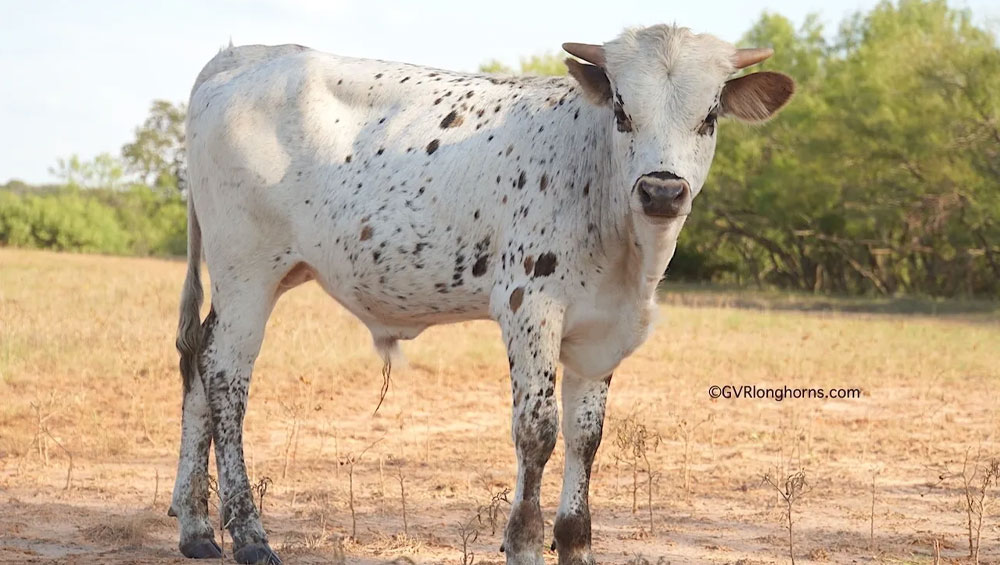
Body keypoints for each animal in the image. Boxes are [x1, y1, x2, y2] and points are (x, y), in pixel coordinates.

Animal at [174, 24, 796, 560]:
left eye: (709, 115)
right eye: (622, 110)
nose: (662, 191)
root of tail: (243, 57)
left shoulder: (601, 333)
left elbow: (586, 436)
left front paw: (575, 543)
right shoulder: (530, 307)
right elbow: (537, 431)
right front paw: (523, 542)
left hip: (261, 277)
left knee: (198, 361)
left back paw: (196, 527)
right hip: (246, 271)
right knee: (226, 377)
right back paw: (248, 534)